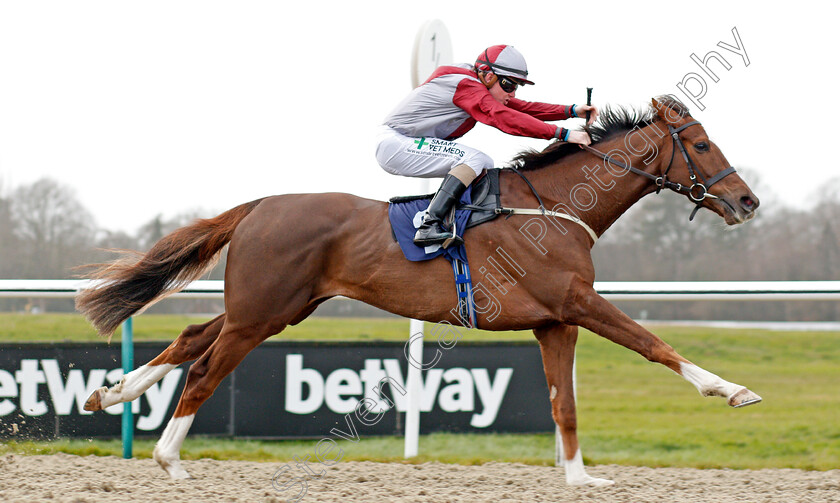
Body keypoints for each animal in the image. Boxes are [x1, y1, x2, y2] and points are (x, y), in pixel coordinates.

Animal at [77, 96, 760, 486]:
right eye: (701, 145)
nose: (747, 201)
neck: (555, 208)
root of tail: (259, 205)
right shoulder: (577, 302)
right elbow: (653, 344)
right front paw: (732, 389)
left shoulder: (554, 321)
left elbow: (563, 402)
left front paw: (579, 479)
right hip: (262, 312)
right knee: (204, 370)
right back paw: (168, 457)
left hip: (276, 306)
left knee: (194, 336)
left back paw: (113, 393)